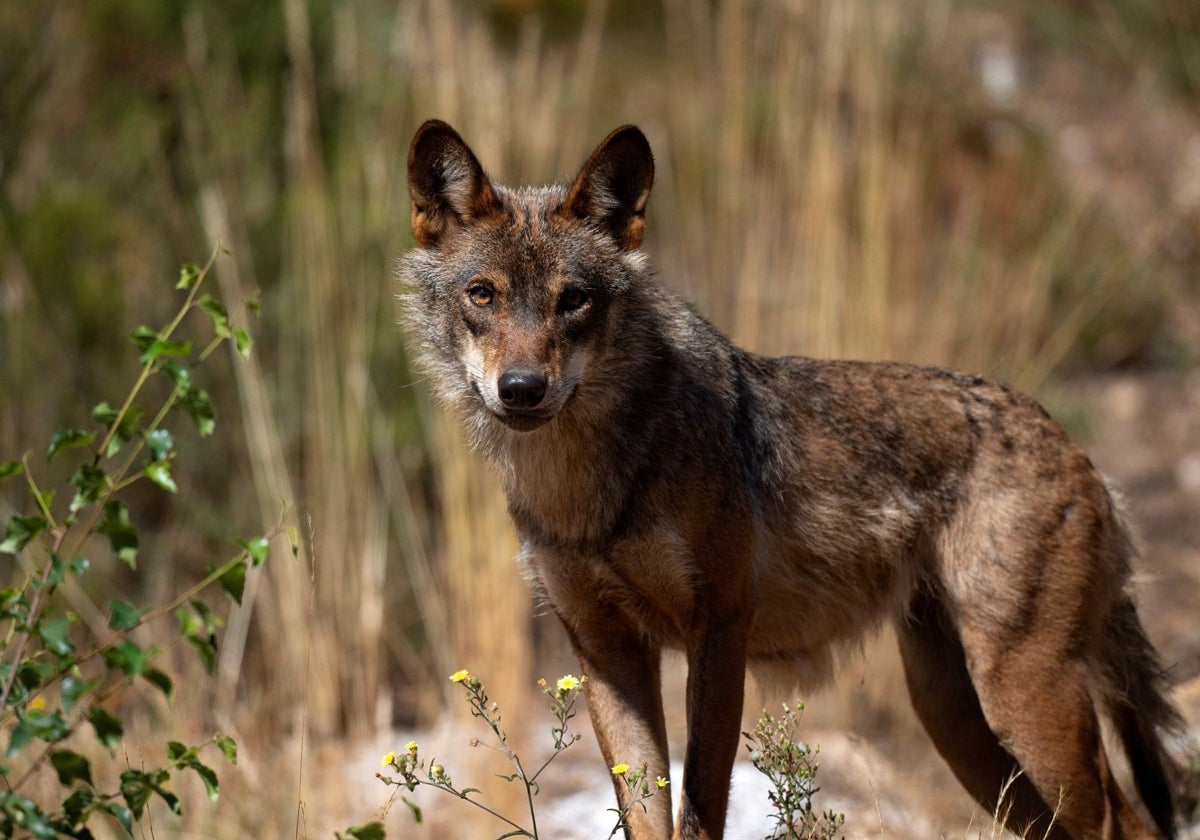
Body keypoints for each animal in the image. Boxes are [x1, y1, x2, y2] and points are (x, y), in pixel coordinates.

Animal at [398, 118, 1185, 840]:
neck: (587, 490)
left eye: (574, 300)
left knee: (1128, 822)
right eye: (483, 295)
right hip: (959, 725)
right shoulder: (606, 651)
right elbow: (646, 814)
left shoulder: (721, 630)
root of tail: (1074, 445)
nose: (522, 389)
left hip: (1022, 704)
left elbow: (700, 812)